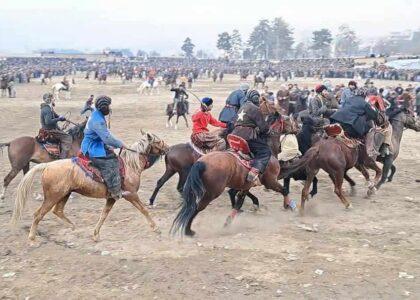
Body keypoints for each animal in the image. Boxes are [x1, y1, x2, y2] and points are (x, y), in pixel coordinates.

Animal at [10, 131, 167, 244]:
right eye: (158, 141)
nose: (167, 148)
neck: (130, 166)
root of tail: (47, 166)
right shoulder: (131, 194)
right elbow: (144, 209)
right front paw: (156, 228)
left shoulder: (112, 198)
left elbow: (104, 215)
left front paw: (96, 235)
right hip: (52, 197)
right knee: (38, 214)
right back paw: (32, 238)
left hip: (64, 194)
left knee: (58, 211)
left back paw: (73, 226)